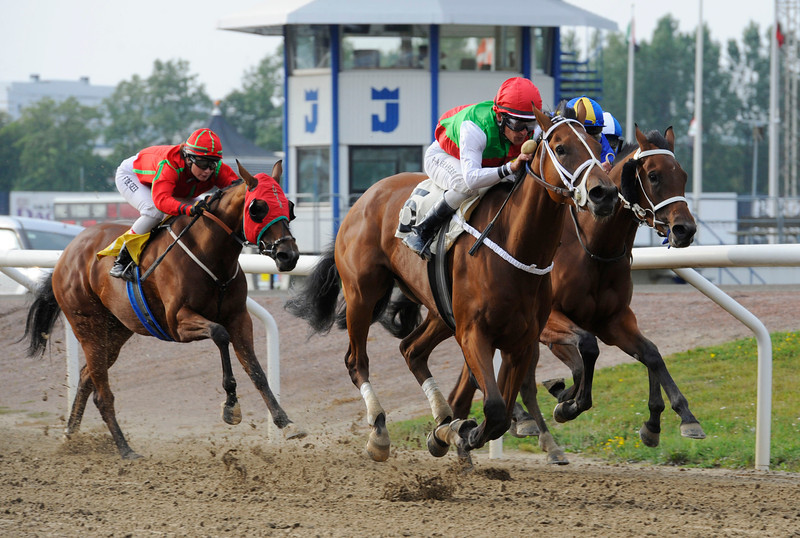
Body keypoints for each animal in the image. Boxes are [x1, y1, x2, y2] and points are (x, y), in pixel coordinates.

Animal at [23, 159, 306, 456]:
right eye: (258, 208)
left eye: (289, 207)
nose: (288, 255)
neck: (211, 255)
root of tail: (67, 253)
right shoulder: (178, 322)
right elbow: (219, 334)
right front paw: (231, 406)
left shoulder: (239, 318)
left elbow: (257, 370)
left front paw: (286, 423)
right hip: (87, 324)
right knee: (101, 393)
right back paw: (125, 449)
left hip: (116, 330)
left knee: (88, 377)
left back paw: (71, 439)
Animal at [286, 103, 620, 460]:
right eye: (560, 148)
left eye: (597, 146)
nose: (605, 193)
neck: (516, 246)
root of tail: (364, 198)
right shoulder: (474, 332)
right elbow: (495, 408)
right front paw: (467, 434)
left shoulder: (521, 340)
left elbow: (501, 410)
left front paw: (456, 432)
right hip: (363, 294)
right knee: (356, 360)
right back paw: (379, 431)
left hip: (439, 310)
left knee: (411, 350)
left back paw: (443, 421)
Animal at [450, 125, 708, 456]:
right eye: (653, 176)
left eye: (684, 175)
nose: (684, 230)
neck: (595, 247)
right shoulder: (550, 322)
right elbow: (584, 354)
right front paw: (567, 402)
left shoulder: (613, 320)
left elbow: (650, 353)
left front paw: (670, 419)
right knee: (515, 380)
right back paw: (531, 425)